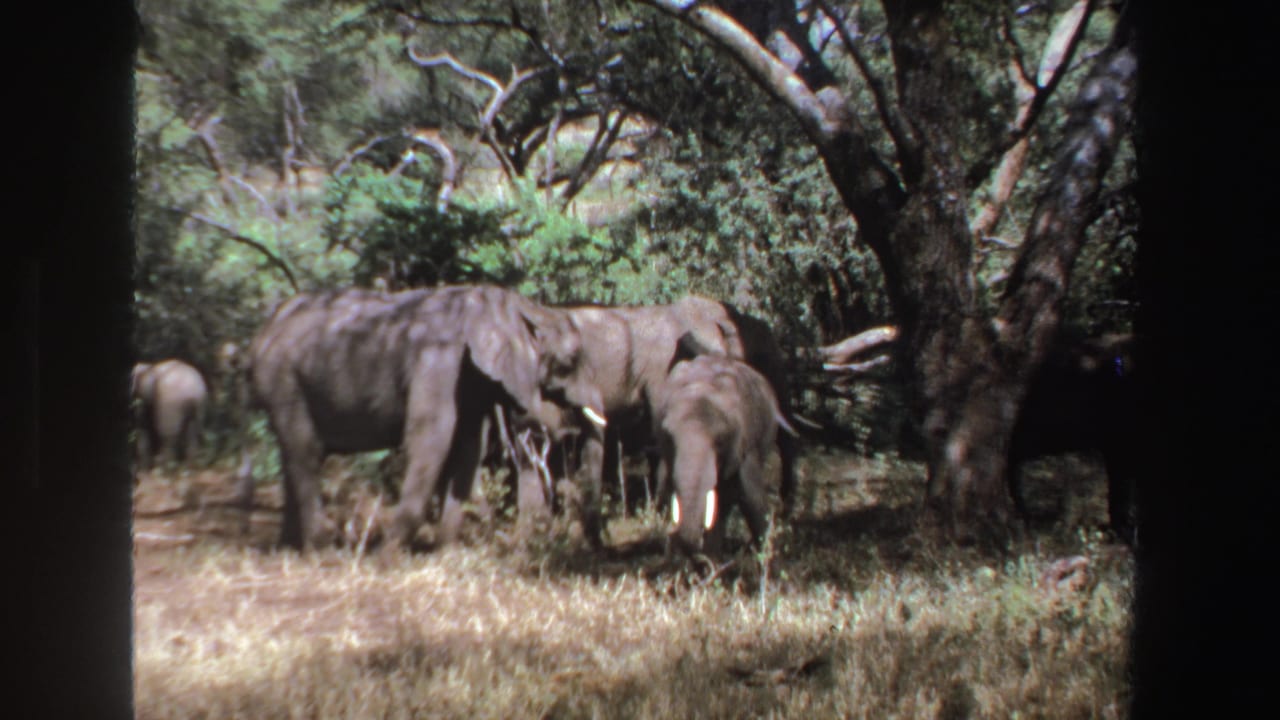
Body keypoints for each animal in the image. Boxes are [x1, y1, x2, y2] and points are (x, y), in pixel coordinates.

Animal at [246, 285, 606, 551]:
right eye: (570, 360)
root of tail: (263, 330)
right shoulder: (439, 361)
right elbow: (432, 440)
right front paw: (388, 557)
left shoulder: (471, 380)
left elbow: (468, 449)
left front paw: (447, 555)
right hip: (283, 379)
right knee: (305, 452)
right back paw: (322, 549)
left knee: (292, 454)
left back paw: (290, 549)